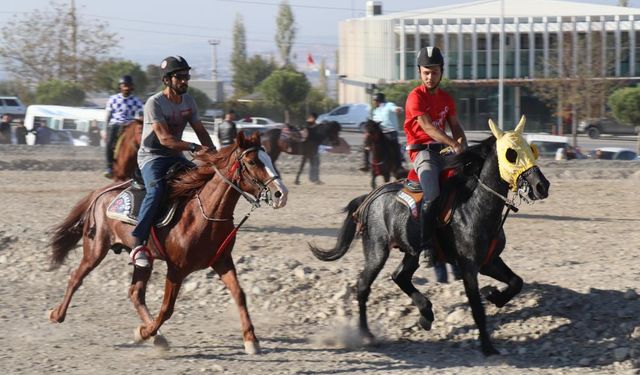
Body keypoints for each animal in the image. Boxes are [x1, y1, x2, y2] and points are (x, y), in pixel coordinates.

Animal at [308, 117, 552, 356]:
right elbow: (477, 307)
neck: (475, 206)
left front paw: (494, 295)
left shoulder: (489, 261)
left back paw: (426, 314)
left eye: (531, 149)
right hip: (377, 250)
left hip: (412, 253)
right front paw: (487, 346)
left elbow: (516, 282)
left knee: (399, 276)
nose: (542, 186)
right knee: (363, 286)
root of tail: (369, 198)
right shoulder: (468, 266)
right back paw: (366, 334)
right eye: (511, 153)